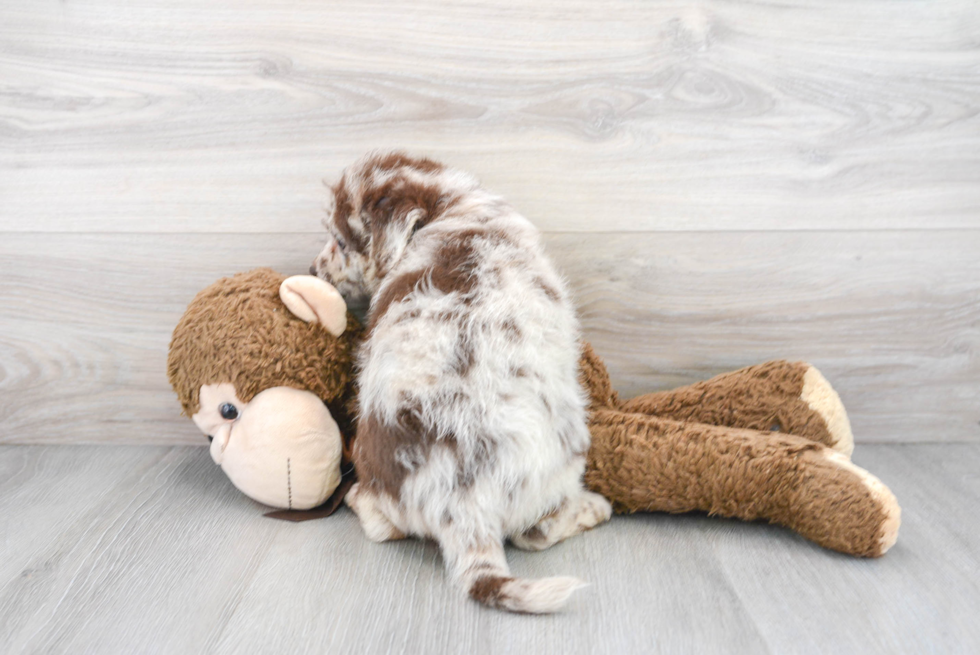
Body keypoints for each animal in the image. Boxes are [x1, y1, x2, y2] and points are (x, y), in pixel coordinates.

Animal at [310, 154, 608, 616]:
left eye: (340, 242)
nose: (312, 270)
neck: (451, 207)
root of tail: (465, 506)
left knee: (384, 525)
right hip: (566, 459)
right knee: (535, 532)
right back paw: (594, 508)